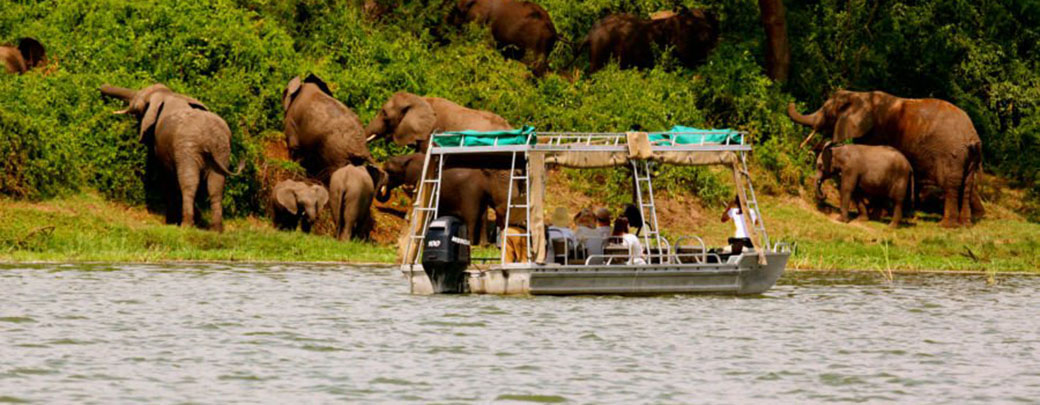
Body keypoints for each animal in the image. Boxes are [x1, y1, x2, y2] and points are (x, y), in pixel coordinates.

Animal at [99, 82, 239, 230]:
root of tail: (210, 137)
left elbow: (166, 176)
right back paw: (216, 230)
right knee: (216, 186)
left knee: (189, 182)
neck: (168, 94)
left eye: (137, 106)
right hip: (222, 150)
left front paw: (171, 222)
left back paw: (186, 225)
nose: (102, 86)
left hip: (188, 148)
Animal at [786, 89, 981, 226]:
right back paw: (965, 224)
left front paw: (875, 213)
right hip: (969, 157)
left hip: (952, 155)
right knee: (967, 185)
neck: (860, 95)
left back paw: (947, 225)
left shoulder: (875, 132)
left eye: (827, 113)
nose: (792, 101)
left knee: (951, 187)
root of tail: (972, 136)